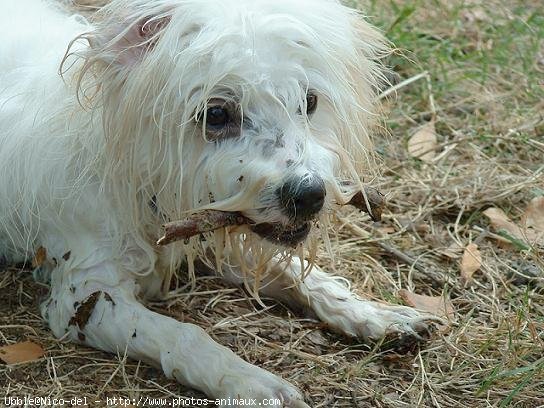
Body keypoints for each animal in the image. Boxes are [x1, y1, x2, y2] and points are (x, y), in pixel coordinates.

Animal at [0, 1, 436, 406]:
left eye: (309, 101)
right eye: (216, 114)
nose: (310, 195)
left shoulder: (212, 231)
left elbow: (298, 273)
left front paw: (374, 313)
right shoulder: (86, 299)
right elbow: (183, 335)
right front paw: (251, 382)